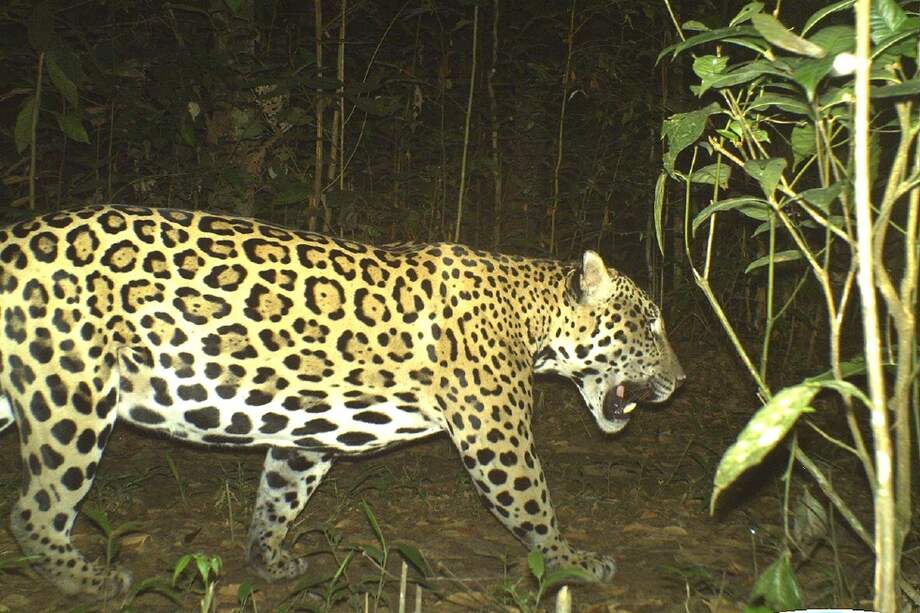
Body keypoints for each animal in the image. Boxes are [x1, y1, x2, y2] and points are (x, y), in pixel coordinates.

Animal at [0, 205, 684, 596]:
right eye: (651, 324)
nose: (680, 381)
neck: (532, 315)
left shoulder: (305, 433)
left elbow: (279, 495)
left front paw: (267, 560)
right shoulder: (497, 436)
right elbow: (535, 506)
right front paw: (574, 562)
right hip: (73, 396)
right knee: (35, 511)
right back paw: (88, 580)